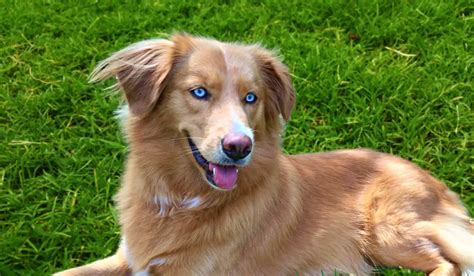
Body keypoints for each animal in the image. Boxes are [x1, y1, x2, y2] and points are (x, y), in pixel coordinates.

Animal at [56, 33, 474, 274]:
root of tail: (432, 180)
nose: (239, 147)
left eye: (251, 98)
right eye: (199, 92)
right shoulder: (127, 257)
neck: (181, 198)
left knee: (448, 263)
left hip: (387, 231)